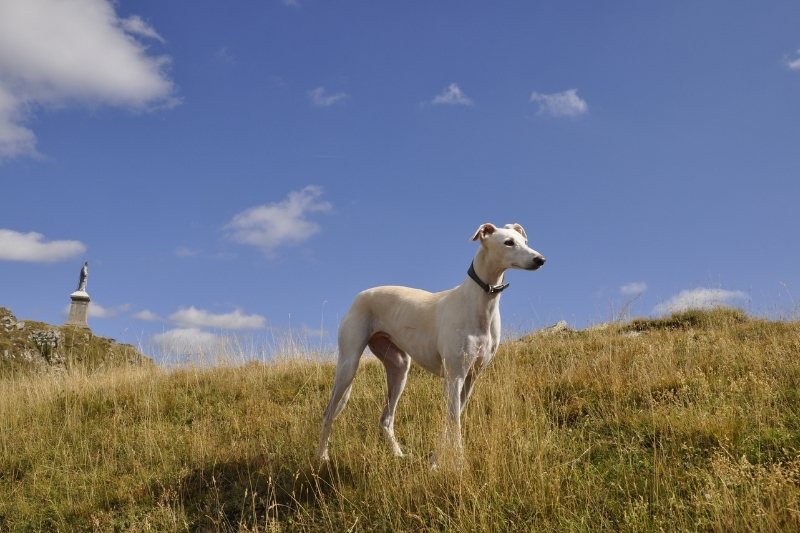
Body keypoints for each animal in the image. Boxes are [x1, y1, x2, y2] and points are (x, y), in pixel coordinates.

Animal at [318, 222, 544, 460]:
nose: (540, 259)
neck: (480, 303)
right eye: (508, 242)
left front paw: (437, 460)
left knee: (386, 419)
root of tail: (360, 295)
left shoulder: (471, 378)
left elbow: (451, 419)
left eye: (525, 241)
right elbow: (454, 421)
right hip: (348, 365)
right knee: (328, 414)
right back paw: (322, 456)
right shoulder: (455, 376)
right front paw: (459, 462)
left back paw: (398, 455)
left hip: (399, 368)